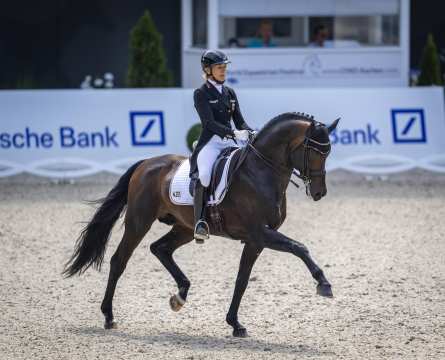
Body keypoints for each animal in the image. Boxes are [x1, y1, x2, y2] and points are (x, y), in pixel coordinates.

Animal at [62, 112, 338, 338]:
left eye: (328, 152)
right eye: (316, 152)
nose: (320, 193)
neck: (261, 171)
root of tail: (146, 163)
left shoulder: (255, 240)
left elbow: (242, 279)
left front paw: (235, 324)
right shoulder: (260, 233)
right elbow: (299, 247)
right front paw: (323, 284)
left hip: (184, 227)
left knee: (160, 248)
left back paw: (180, 295)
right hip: (138, 222)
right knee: (119, 260)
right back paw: (109, 317)